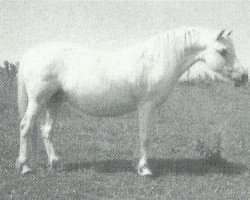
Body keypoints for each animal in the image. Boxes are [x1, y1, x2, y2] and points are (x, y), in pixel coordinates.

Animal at [16, 26, 248, 175]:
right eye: (223, 51)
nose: (243, 76)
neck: (155, 60)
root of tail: (31, 54)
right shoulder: (146, 107)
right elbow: (145, 137)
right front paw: (144, 169)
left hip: (54, 101)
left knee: (47, 131)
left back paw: (55, 163)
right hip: (37, 101)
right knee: (26, 127)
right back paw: (25, 166)